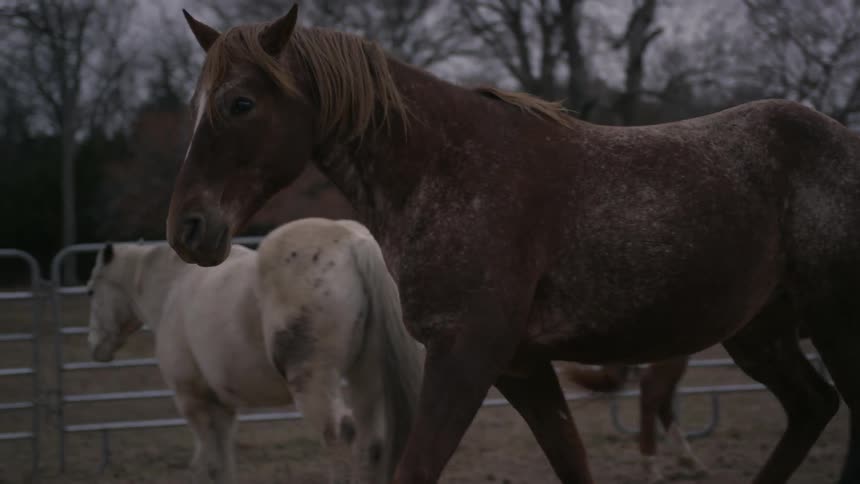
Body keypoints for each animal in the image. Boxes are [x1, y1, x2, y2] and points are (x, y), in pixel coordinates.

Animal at [86, 218, 423, 484]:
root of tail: (354, 244)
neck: (173, 287)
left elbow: (208, 465)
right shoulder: (222, 409)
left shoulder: (193, 400)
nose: (94, 347)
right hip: (367, 378)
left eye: (90, 291)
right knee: (372, 445)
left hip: (315, 382)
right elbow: (223, 466)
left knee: (340, 436)